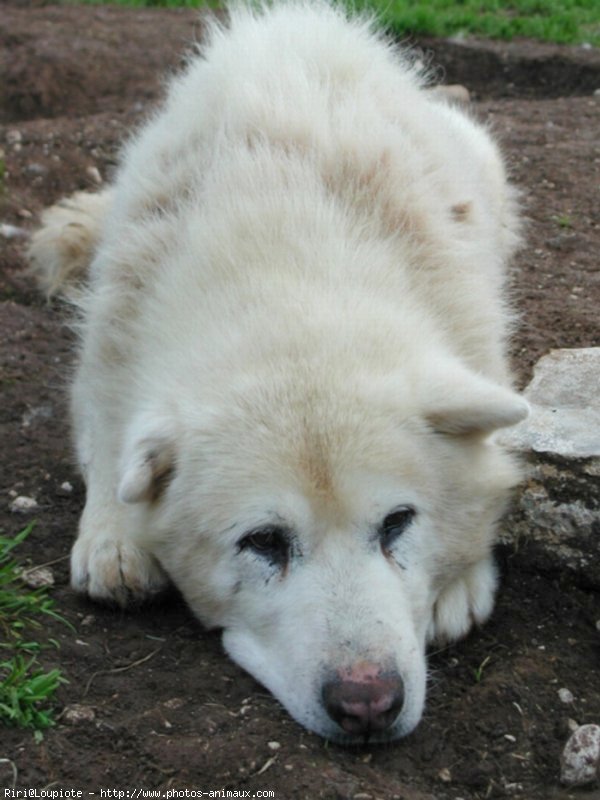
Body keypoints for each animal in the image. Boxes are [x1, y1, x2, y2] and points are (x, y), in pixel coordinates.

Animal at [29, 3, 524, 748]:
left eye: (398, 523)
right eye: (263, 542)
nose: (368, 704)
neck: (288, 262)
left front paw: (461, 580)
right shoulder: (108, 359)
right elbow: (110, 446)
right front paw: (114, 536)